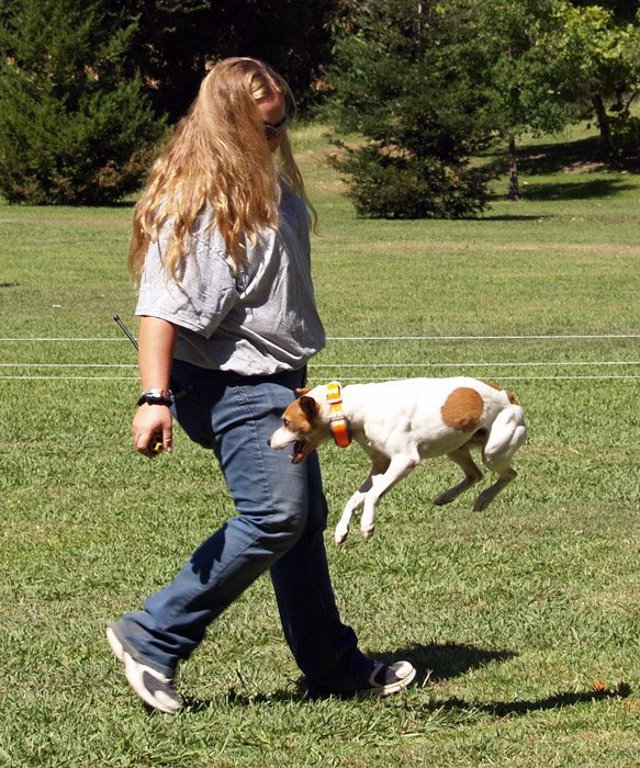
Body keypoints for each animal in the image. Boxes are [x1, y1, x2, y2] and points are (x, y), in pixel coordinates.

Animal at [268, 378, 528, 544]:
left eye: (286, 421)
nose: (269, 441)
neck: (352, 408)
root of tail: (509, 395)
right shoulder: (380, 465)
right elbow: (355, 499)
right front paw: (341, 529)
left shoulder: (404, 460)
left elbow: (372, 495)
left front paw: (367, 525)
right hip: (456, 447)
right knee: (475, 474)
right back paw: (447, 496)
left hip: (493, 449)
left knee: (509, 474)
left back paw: (484, 499)